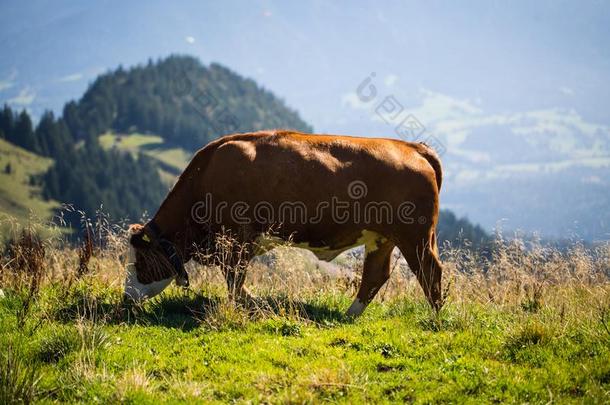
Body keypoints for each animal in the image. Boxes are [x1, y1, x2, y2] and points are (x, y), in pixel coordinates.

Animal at [123, 131, 442, 314]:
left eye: (140, 260)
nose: (127, 298)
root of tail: (413, 147)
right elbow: (234, 279)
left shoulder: (236, 239)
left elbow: (234, 278)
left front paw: (249, 304)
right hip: (382, 238)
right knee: (375, 276)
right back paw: (348, 316)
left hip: (415, 237)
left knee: (430, 272)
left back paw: (435, 318)